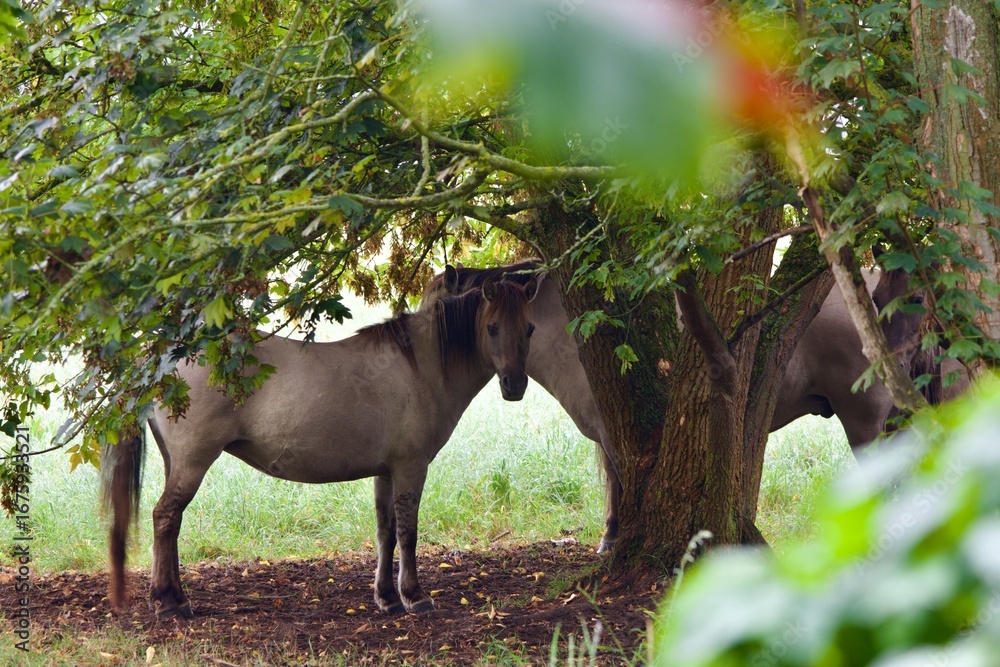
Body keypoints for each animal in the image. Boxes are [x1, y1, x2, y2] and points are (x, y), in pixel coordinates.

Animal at [103, 272, 538, 620]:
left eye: (530, 329)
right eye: (493, 328)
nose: (515, 386)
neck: (420, 366)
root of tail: (162, 358)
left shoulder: (386, 470)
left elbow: (386, 532)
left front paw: (387, 598)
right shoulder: (411, 467)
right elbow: (408, 533)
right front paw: (414, 596)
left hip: (175, 462)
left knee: (172, 525)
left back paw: (178, 598)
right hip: (193, 462)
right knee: (165, 518)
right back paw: (166, 603)